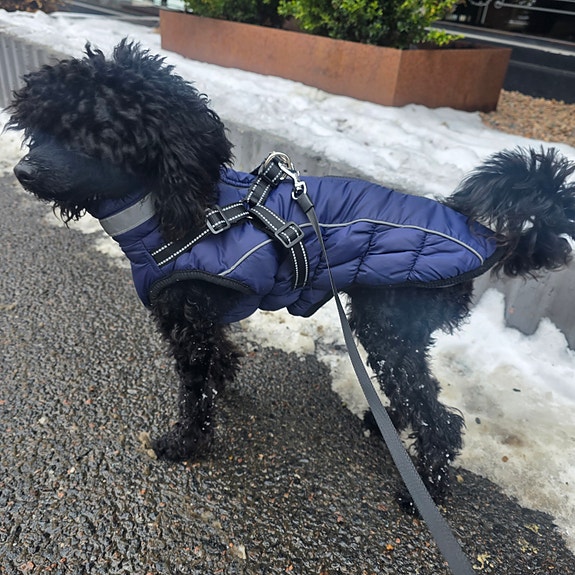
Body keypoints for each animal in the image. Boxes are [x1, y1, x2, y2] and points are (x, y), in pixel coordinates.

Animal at [7, 40, 575, 506]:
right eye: (40, 126)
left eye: (95, 132)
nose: (23, 172)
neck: (176, 208)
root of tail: (482, 231)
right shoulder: (204, 316)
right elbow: (219, 359)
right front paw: (224, 383)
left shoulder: (189, 320)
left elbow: (195, 390)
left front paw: (186, 441)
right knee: (413, 391)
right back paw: (387, 423)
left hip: (390, 323)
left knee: (440, 417)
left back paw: (425, 488)